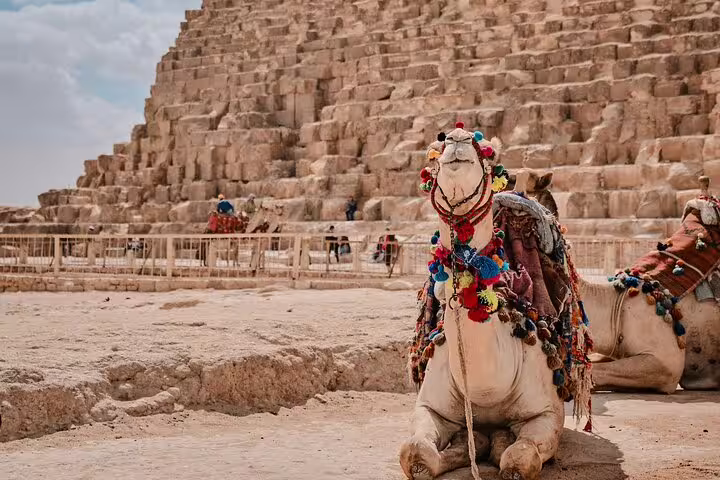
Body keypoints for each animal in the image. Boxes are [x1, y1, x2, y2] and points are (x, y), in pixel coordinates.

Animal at [400, 124, 591, 480]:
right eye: (437, 145)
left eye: (489, 150)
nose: (457, 138)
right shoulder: (429, 406)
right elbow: (414, 451)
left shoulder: (547, 414)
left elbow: (520, 459)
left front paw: (502, 448)